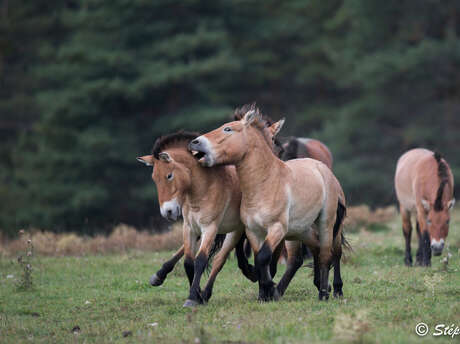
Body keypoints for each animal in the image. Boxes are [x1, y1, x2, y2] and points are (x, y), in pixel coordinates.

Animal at [189, 107, 346, 300]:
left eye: (228, 129)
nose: (195, 142)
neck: (266, 183)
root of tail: (322, 167)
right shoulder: (252, 231)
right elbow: (258, 259)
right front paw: (264, 292)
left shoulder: (277, 228)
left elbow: (264, 257)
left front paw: (268, 289)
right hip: (300, 231)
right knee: (311, 252)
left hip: (327, 223)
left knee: (329, 253)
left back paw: (328, 292)